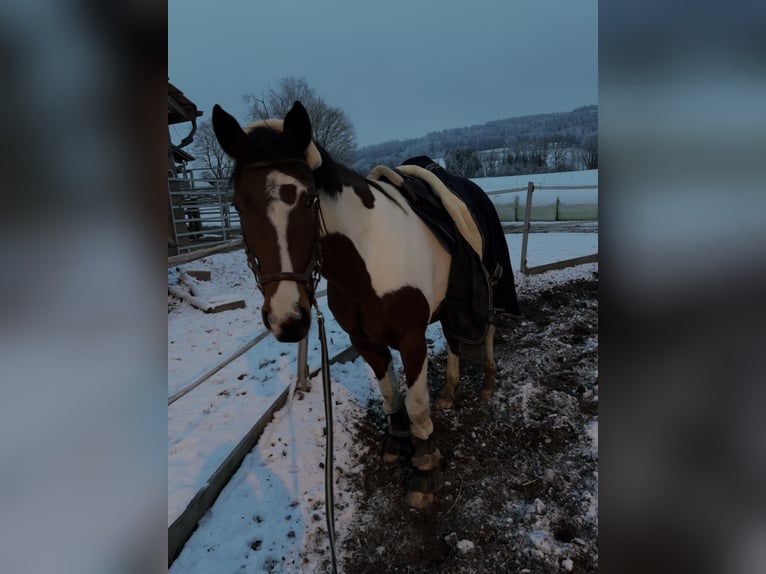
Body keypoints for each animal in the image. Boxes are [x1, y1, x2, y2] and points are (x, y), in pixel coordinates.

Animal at [213, 102, 510, 508]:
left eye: (309, 198)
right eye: (238, 204)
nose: (287, 319)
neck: (367, 256)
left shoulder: (411, 339)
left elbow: (416, 404)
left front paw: (424, 467)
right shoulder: (365, 340)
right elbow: (390, 393)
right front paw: (397, 441)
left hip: (487, 287)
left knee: (488, 330)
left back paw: (489, 383)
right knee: (453, 338)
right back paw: (449, 392)